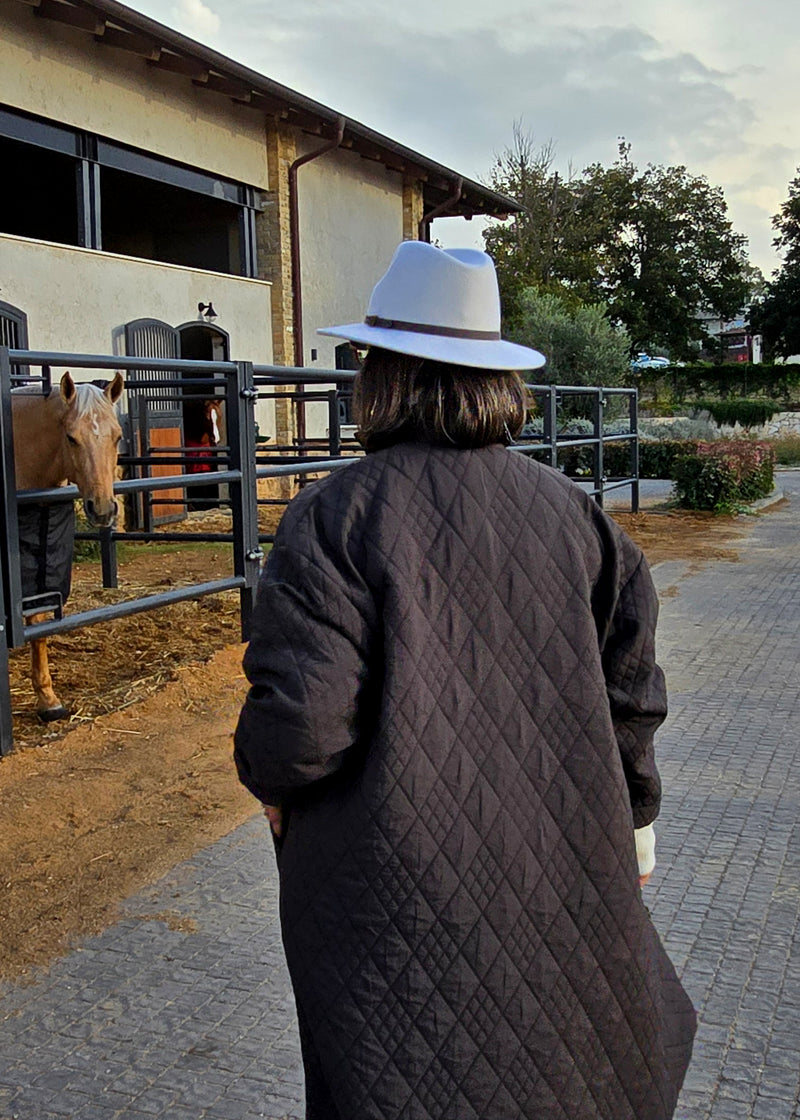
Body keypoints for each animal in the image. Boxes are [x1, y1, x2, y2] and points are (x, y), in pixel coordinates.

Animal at [11, 371, 124, 721]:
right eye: (72, 438)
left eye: (117, 437)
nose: (102, 509)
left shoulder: (39, 564)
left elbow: (38, 624)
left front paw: (48, 700)